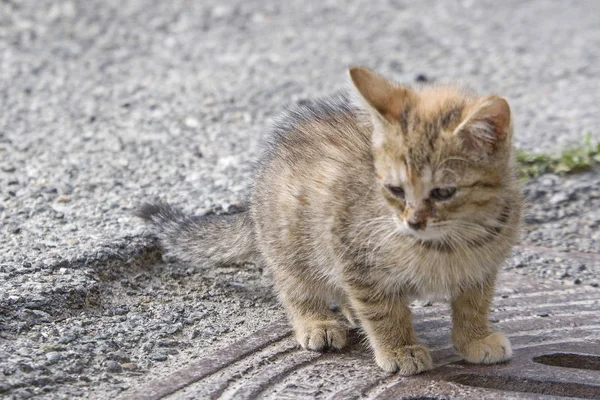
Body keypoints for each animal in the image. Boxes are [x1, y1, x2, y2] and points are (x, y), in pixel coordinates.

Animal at [138, 67, 524, 376]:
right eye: (395, 189)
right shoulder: (355, 255)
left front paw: (474, 339)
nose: (413, 222)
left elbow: (474, 304)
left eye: (443, 192)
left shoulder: (482, 268)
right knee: (294, 288)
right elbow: (384, 312)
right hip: (292, 243)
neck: (452, 240)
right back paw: (316, 321)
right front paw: (398, 348)